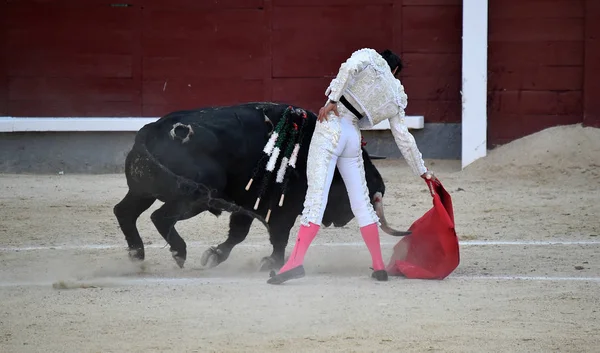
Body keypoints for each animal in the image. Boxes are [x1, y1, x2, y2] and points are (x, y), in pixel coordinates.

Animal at [113, 102, 408, 270]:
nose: (342, 218)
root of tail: (150, 130)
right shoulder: (281, 209)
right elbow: (278, 236)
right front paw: (273, 262)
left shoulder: (247, 205)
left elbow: (238, 234)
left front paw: (214, 255)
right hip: (192, 197)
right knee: (160, 217)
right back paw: (179, 252)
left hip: (143, 189)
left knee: (124, 211)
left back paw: (137, 254)